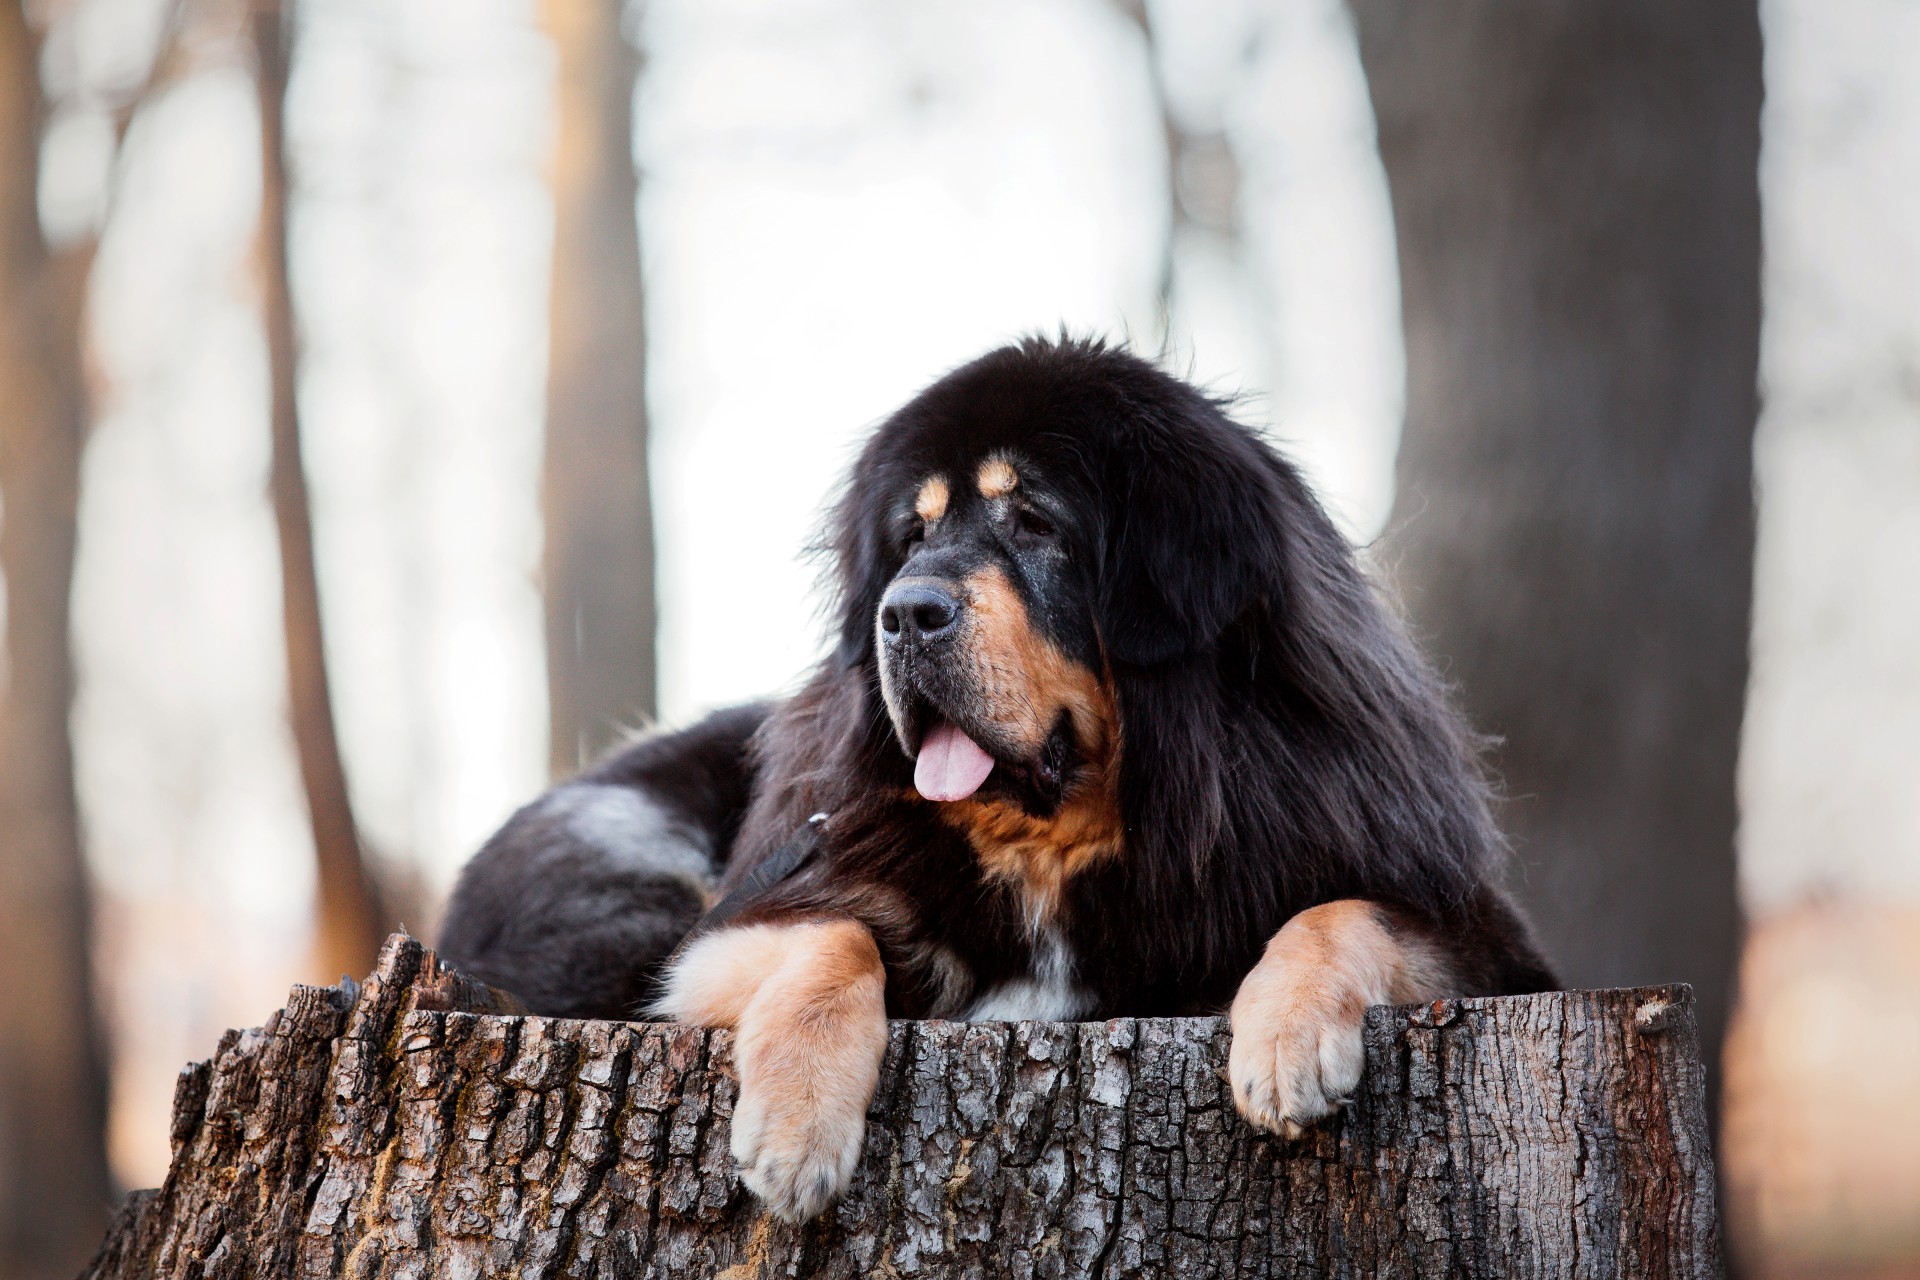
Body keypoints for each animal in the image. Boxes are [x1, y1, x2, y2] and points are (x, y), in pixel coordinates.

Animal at [439, 337, 1559, 1220]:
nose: (903, 611)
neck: (1055, 846)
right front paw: (797, 1132)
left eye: (1036, 524)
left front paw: (1283, 1041)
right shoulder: (729, 932)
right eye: (916, 532)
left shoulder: (1482, 938)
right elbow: (833, 935)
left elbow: (1345, 910)